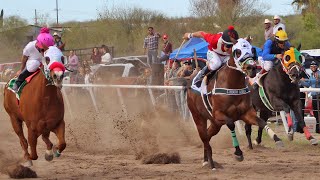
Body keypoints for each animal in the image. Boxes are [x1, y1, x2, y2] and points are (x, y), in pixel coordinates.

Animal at [188, 39, 282, 170]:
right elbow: (231, 124)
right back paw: (211, 164)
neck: (232, 84)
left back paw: (206, 160)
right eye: (237, 52)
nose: (252, 68)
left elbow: (262, 122)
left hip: (215, 123)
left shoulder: (246, 113)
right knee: (205, 138)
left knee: (207, 135)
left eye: (252, 49)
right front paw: (238, 153)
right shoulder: (219, 114)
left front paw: (277, 139)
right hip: (198, 117)